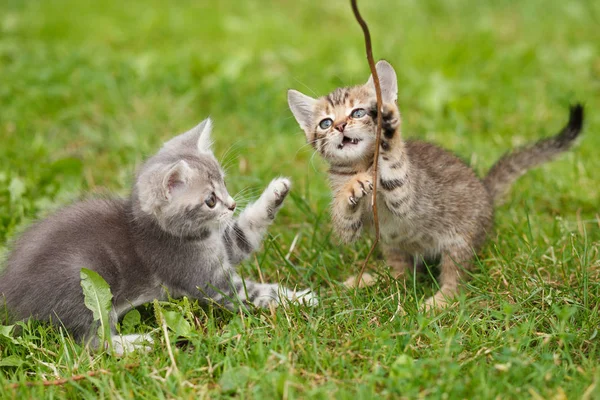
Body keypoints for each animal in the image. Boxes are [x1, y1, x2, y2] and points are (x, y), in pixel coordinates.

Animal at [0, 119, 316, 350]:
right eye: (210, 200)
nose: (232, 204)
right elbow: (254, 294)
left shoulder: (225, 241)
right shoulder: (207, 280)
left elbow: (246, 230)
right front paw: (300, 298)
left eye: (224, 183)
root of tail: (9, 292)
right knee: (92, 342)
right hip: (83, 287)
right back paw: (135, 343)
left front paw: (277, 191)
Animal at [288, 59, 584, 310]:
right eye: (325, 123)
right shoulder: (352, 227)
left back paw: (440, 301)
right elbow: (344, 220)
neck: (361, 163)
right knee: (402, 274)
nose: (339, 126)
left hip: (460, 239)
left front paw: (389, 127)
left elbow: (393, 162)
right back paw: (371, 280)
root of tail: (486, 192)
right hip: (390, 244)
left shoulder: (408, 196)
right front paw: (351, 187)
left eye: (358, 112)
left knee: (456, 279)